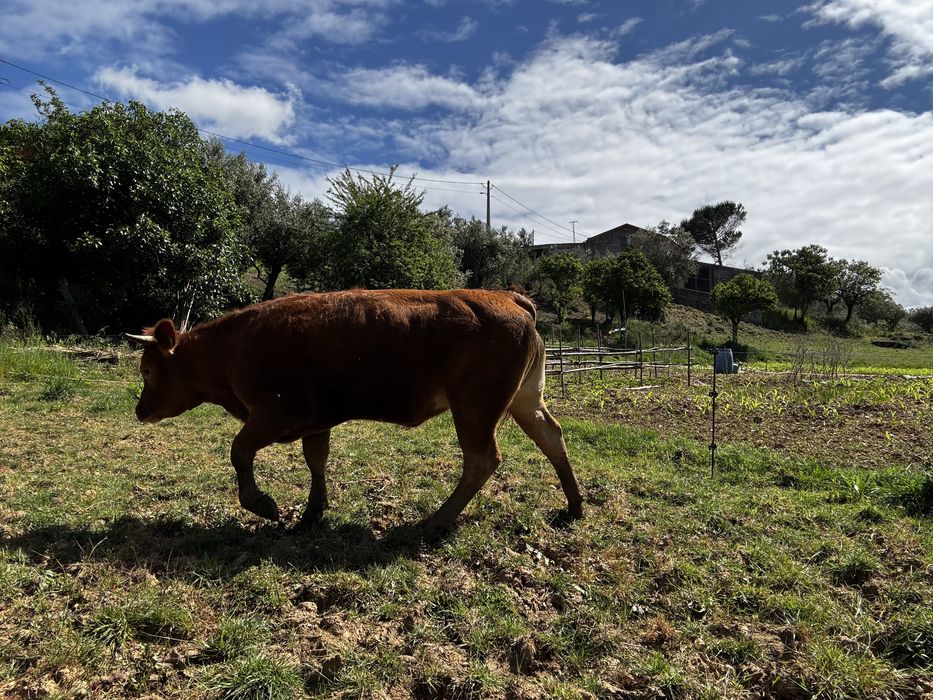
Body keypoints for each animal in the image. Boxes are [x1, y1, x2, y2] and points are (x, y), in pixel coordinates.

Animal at [127, 289, 584, 536]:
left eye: (147, 370)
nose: (139, 410)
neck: (233, 346)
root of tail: (505, 296)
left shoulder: (278, 411)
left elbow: (239, 451)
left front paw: (263, 504)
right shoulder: (315, 419)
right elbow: (316, 461)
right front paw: (312, 513)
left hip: (474, 407)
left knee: (482, 459)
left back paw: (434, 522)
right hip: (525, 398)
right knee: (551, 436)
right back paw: (574, 506)